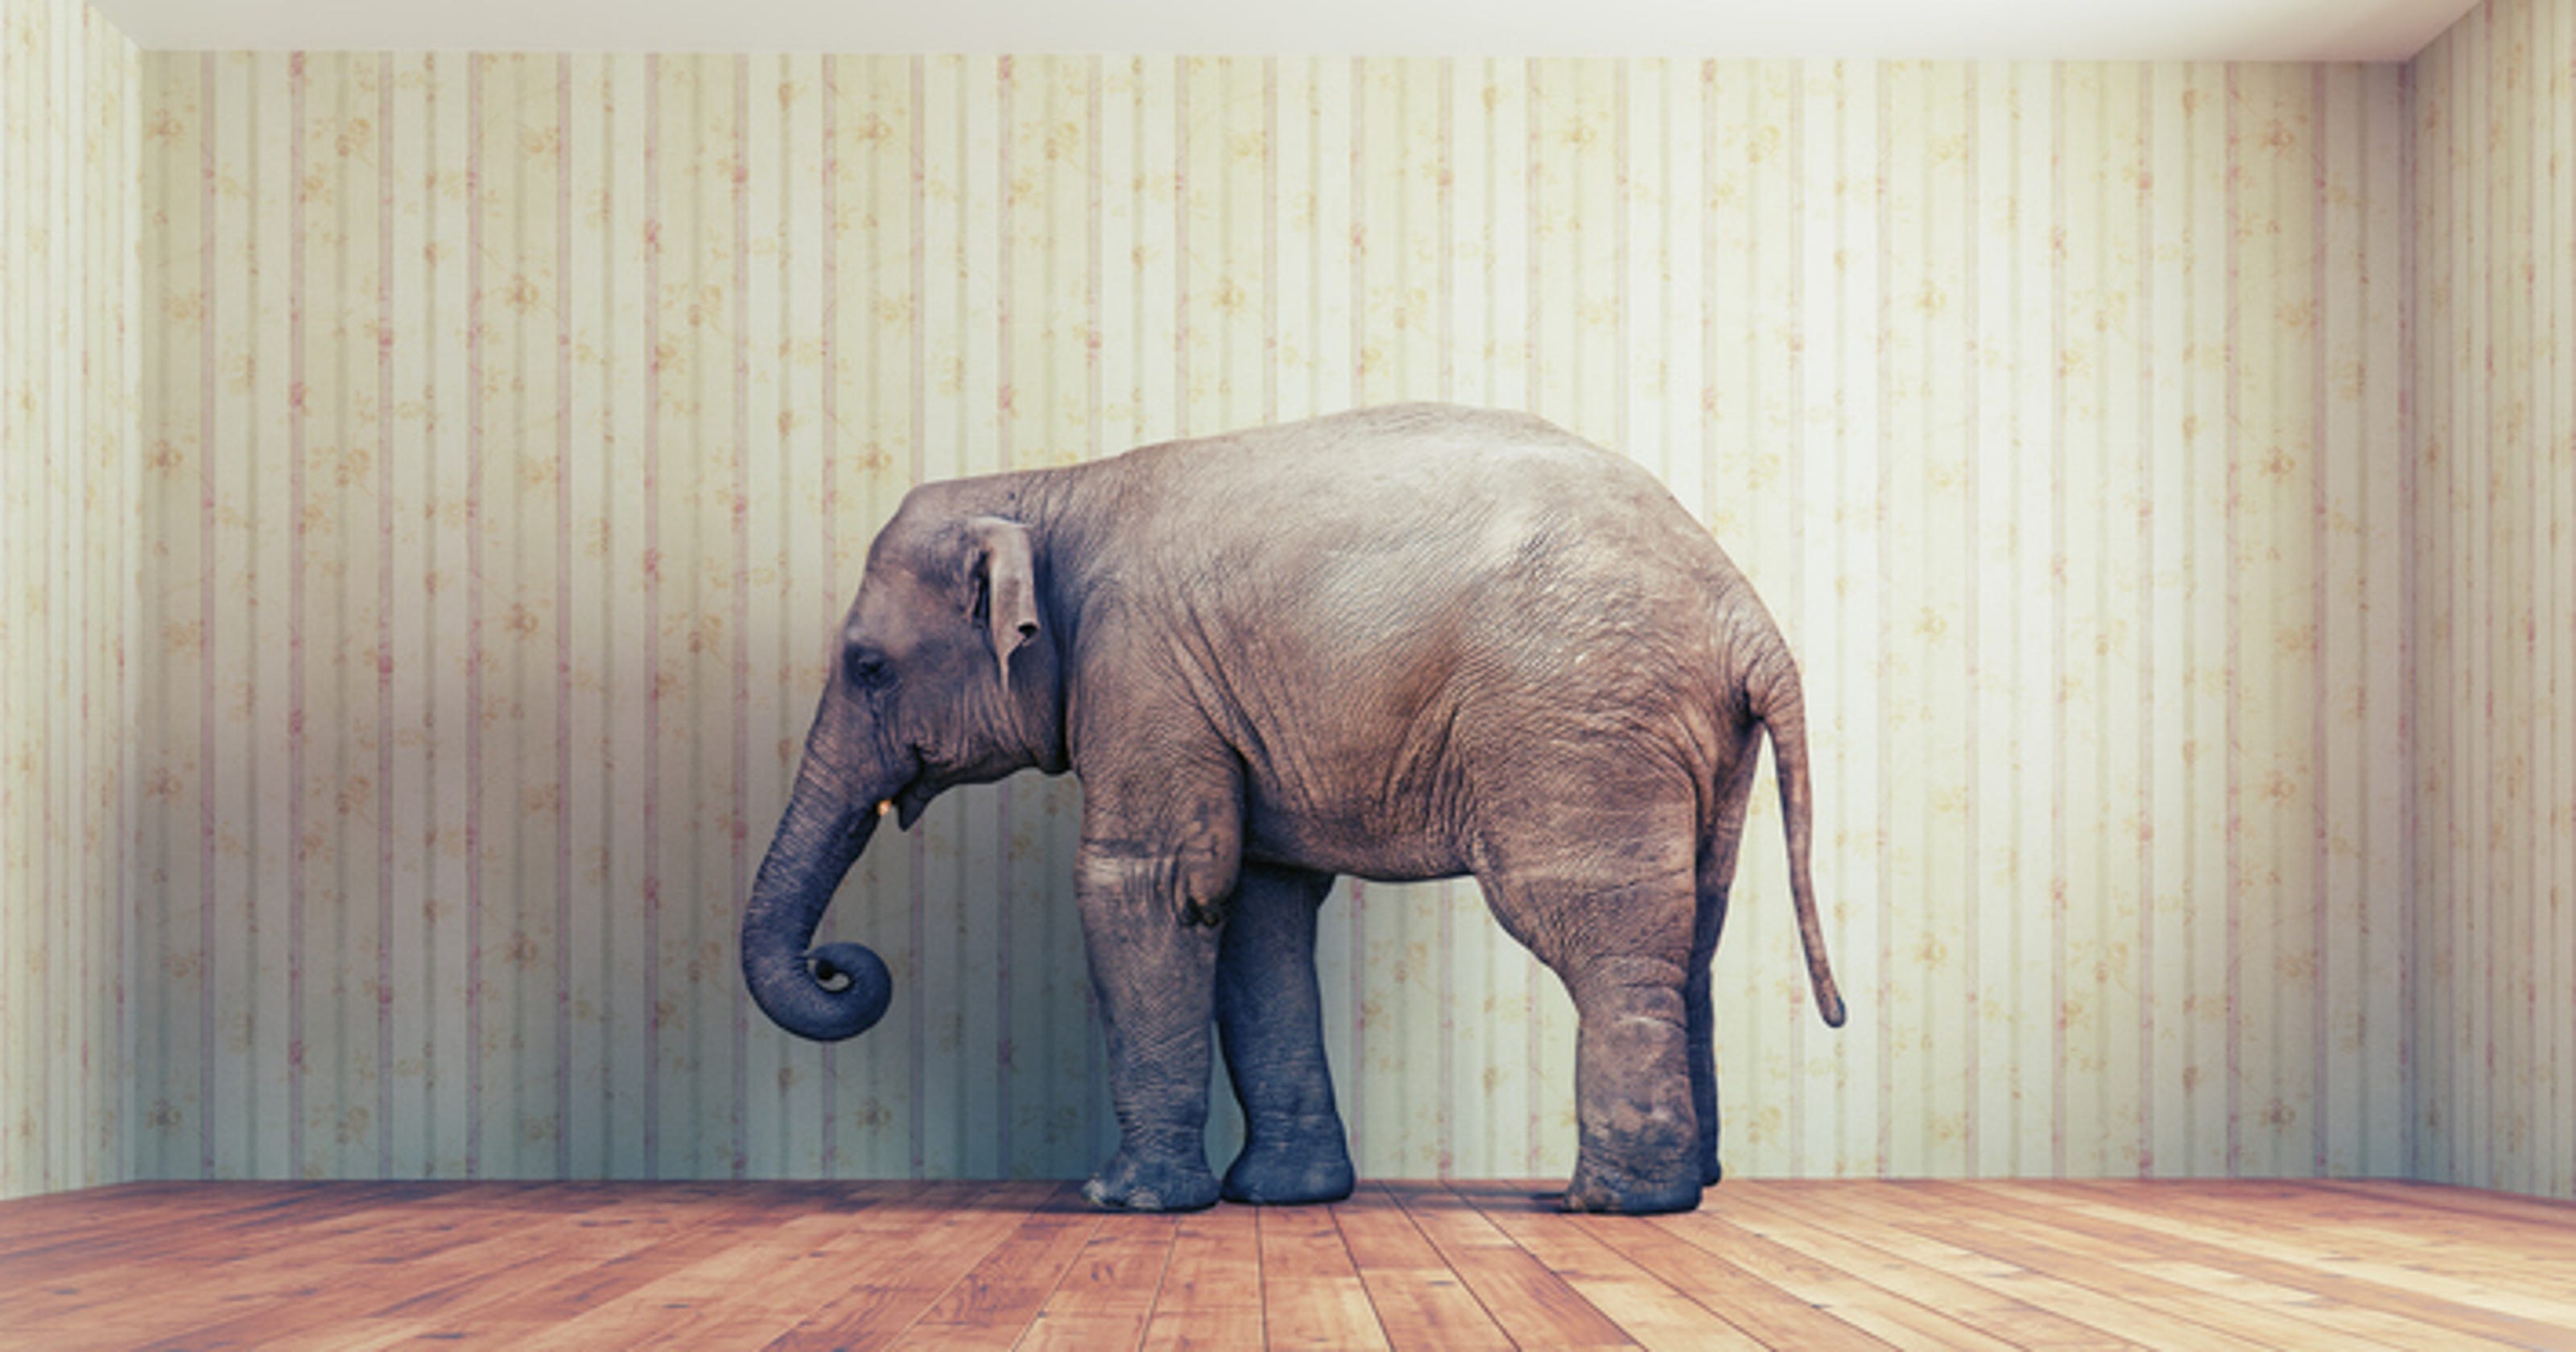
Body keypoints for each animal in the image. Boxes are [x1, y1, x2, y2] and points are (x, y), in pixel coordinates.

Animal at [740, 402, 1845, 1215]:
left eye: (868, 667)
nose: (842, 965)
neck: (1046, 486)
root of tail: (1745, 615)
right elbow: (1256, 909)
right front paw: (1280, 1198)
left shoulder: (1140, 668)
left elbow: (1146, 885)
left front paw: (1126, 1203)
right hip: (1698, 747)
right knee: (1691, 932)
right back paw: (1690, 1186)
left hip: (1572, 721)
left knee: (1595, 937)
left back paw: (1612, 1205)